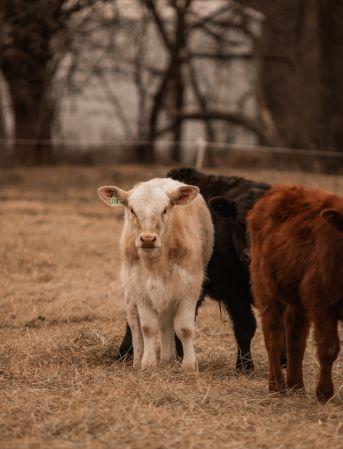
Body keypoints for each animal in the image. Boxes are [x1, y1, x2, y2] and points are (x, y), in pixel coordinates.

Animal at [98, 177, 214, 370]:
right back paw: (138, 361)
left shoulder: (190, 287)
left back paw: (168, 359)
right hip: (130, 294)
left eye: (165, 209)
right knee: (135, 324)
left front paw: (189, 366)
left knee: (167, 322)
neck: (155, 264)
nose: (147, 239)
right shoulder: (140, 289)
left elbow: (185, 328)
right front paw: (148, 364)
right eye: (132, 209)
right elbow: (147, 327)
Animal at [247, 184, 343, 400]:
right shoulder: (322, 304)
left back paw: (296, 385)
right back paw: (276, 385)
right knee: (273, 337)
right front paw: (324, 392)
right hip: (267, 291)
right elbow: (329, 347)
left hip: (296, 300)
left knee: (295, 338)